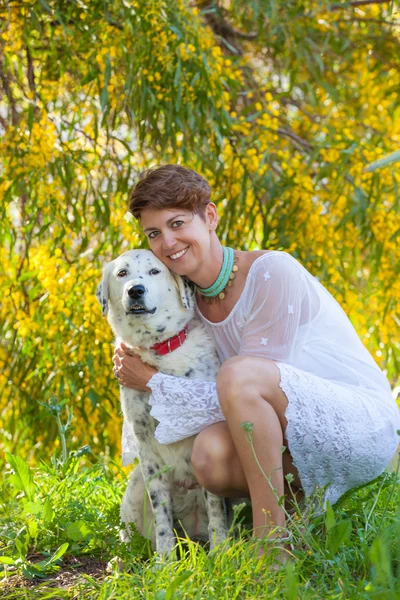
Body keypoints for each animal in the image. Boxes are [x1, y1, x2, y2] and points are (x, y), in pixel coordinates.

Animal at [96, 250, 228, 556]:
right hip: (134, 487)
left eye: (155, 271)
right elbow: (161, 514)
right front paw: (166, 561)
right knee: (132, 539)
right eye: (122, 273)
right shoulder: (147, 448)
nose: (135, 290)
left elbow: (216, 508)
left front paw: (220, 553)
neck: (158, 354)